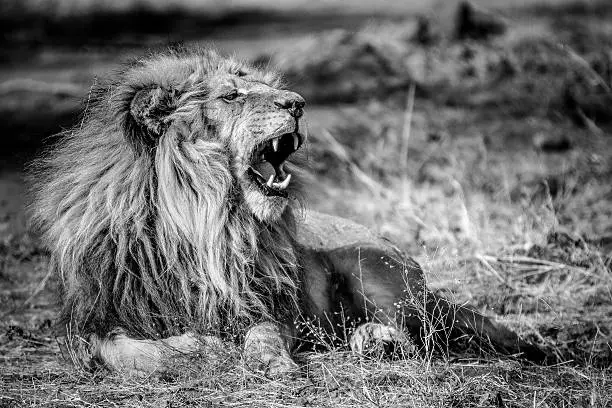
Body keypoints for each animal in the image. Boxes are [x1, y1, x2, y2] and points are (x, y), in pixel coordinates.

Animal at [28, 45, 544, 376]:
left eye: (264, 88)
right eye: (230, 96)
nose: (297, 103)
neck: (202, 226)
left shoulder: (265, 302)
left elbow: (264, 334)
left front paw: (274, 364)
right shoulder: (95, 319)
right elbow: (133, 353)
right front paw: (206, 350)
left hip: (372, 265)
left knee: (414, 331)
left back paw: (373, 341)